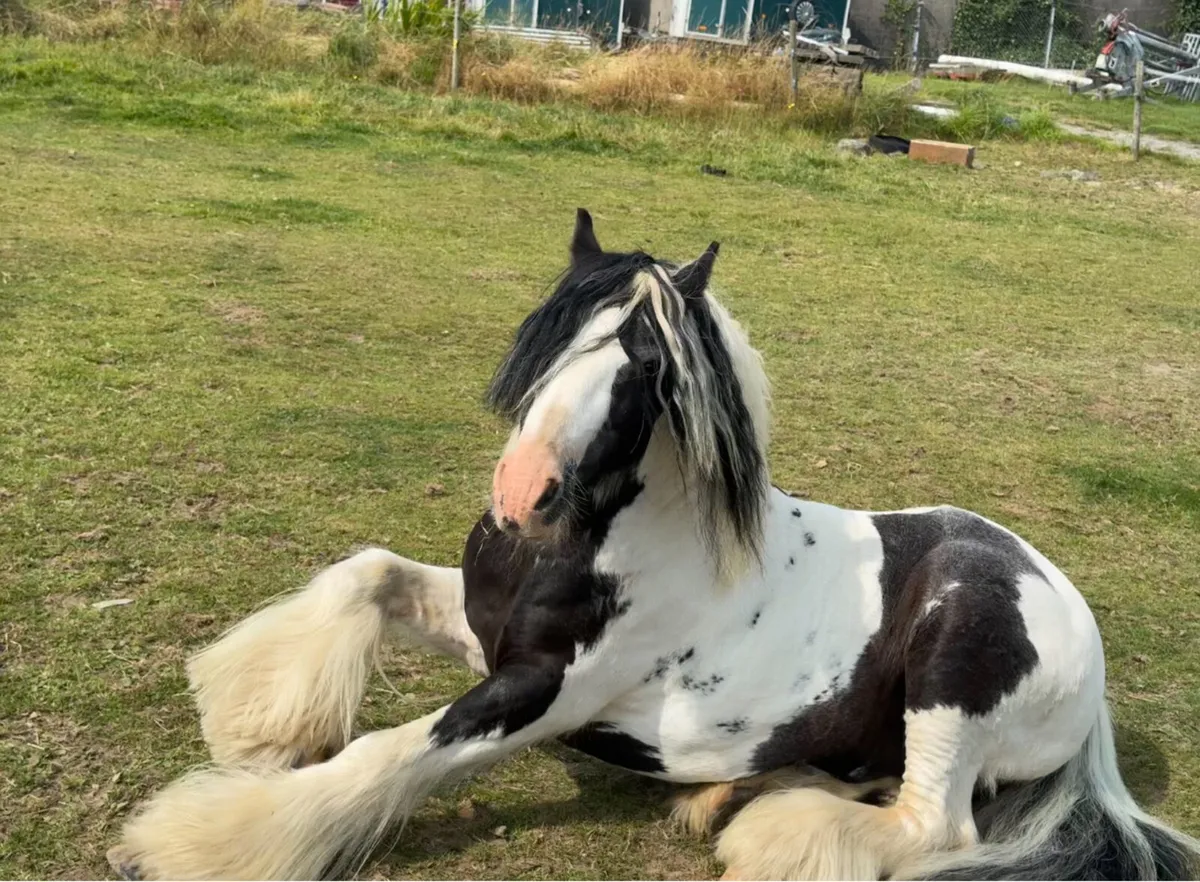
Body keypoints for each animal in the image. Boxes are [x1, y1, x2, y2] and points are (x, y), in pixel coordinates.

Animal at [108, 210, 1199, 881]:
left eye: (646, 372)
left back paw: (772, 837)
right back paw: (733, 798)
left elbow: (390, 754)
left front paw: (191, 843)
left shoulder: (546, 691)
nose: (521, 495)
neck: (589, 548)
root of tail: (1072, 621)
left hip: (954, 660)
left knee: (937, 823)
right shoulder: (480, 626)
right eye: (551, 336)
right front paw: (254, 726)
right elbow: (365, 573)